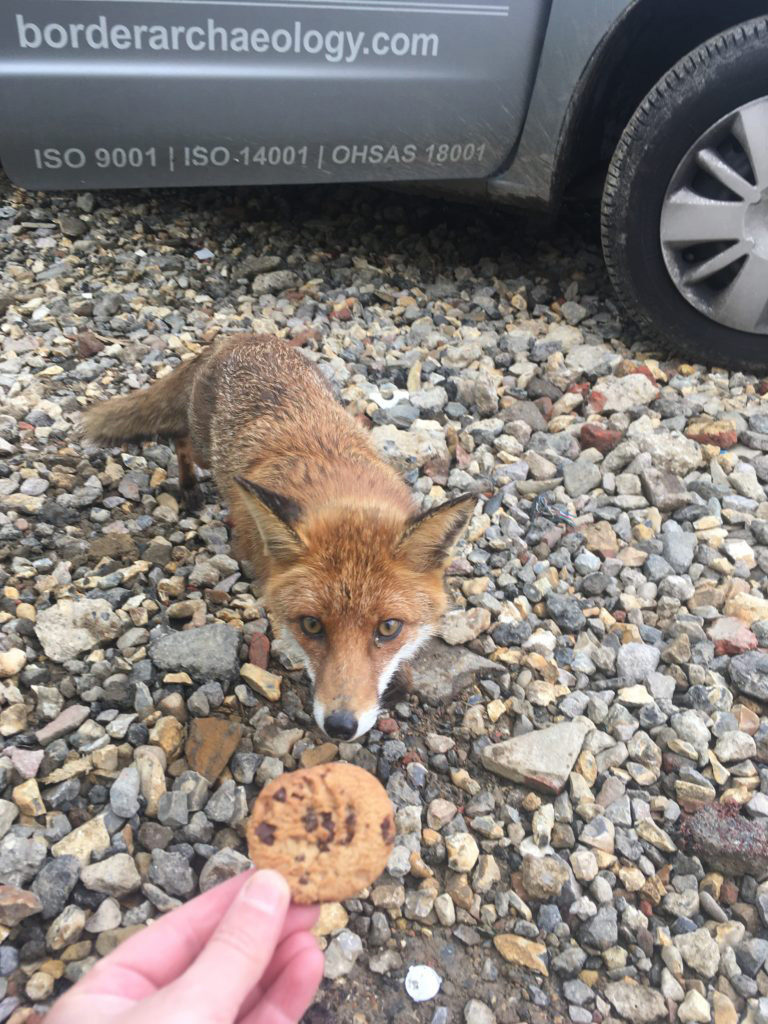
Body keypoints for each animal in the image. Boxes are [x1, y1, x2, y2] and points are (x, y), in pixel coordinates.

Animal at [81, 331, 479, 741]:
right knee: (181, 441)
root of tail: (237, 336)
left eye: (388, 628)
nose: (340, 727)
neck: (340, 484)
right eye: (311, 625)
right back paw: (189, 486)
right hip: (206, 449)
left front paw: (400, 678)